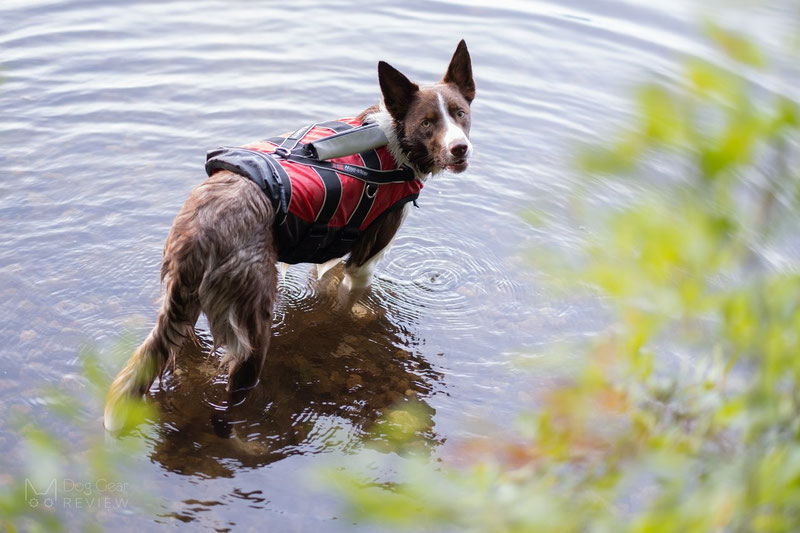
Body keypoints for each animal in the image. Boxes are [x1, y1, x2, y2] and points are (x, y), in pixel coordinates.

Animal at [102, 39, 472, 430]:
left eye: (460, 113)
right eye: (427, 123)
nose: (459, 148)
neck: (392, 140)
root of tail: (198, 233)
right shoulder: (365, 260)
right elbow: (348, 304)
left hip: (184, 303)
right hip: (253, 319)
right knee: (235, 392)